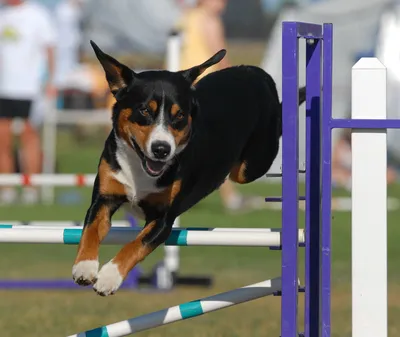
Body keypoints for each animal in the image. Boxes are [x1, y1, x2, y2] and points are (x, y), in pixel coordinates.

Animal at [72, 40, 306, 296]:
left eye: (180, 116)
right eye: (145, 110)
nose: (161, 149)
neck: (140, 171)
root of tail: (256, 72)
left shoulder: (164, 219)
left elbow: (135, 245)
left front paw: (109, 276)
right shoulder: (104, 197)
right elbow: (91, 229)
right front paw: (84, 266)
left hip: (249, 166)